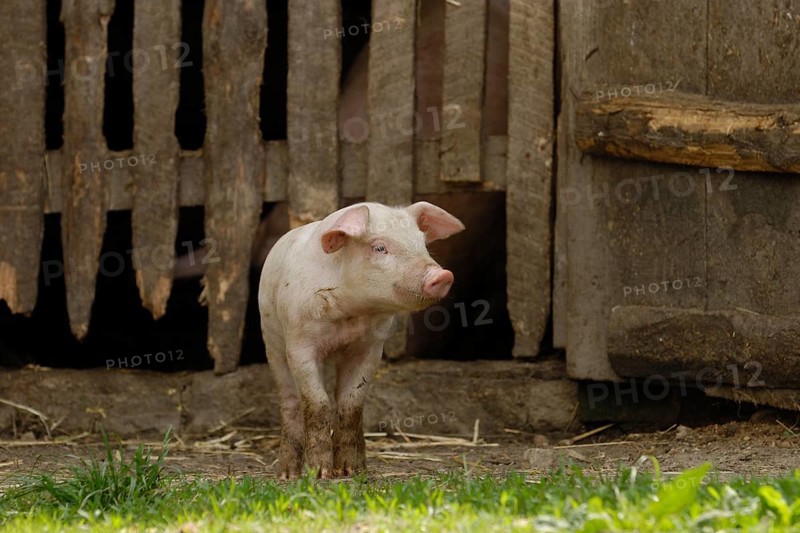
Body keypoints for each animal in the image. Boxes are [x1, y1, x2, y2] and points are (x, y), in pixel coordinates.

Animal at [258, 201, 464, 478]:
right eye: (379, 247)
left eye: (422, 243)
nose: (442, 276)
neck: (349, 313)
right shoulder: (300, 344)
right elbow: (317, 402)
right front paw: (320, 473)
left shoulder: (370, 348)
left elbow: (351, 403)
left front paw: (349, 471)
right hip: (272, 342)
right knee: (290, 401)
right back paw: (288, 474)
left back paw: (359, 467)